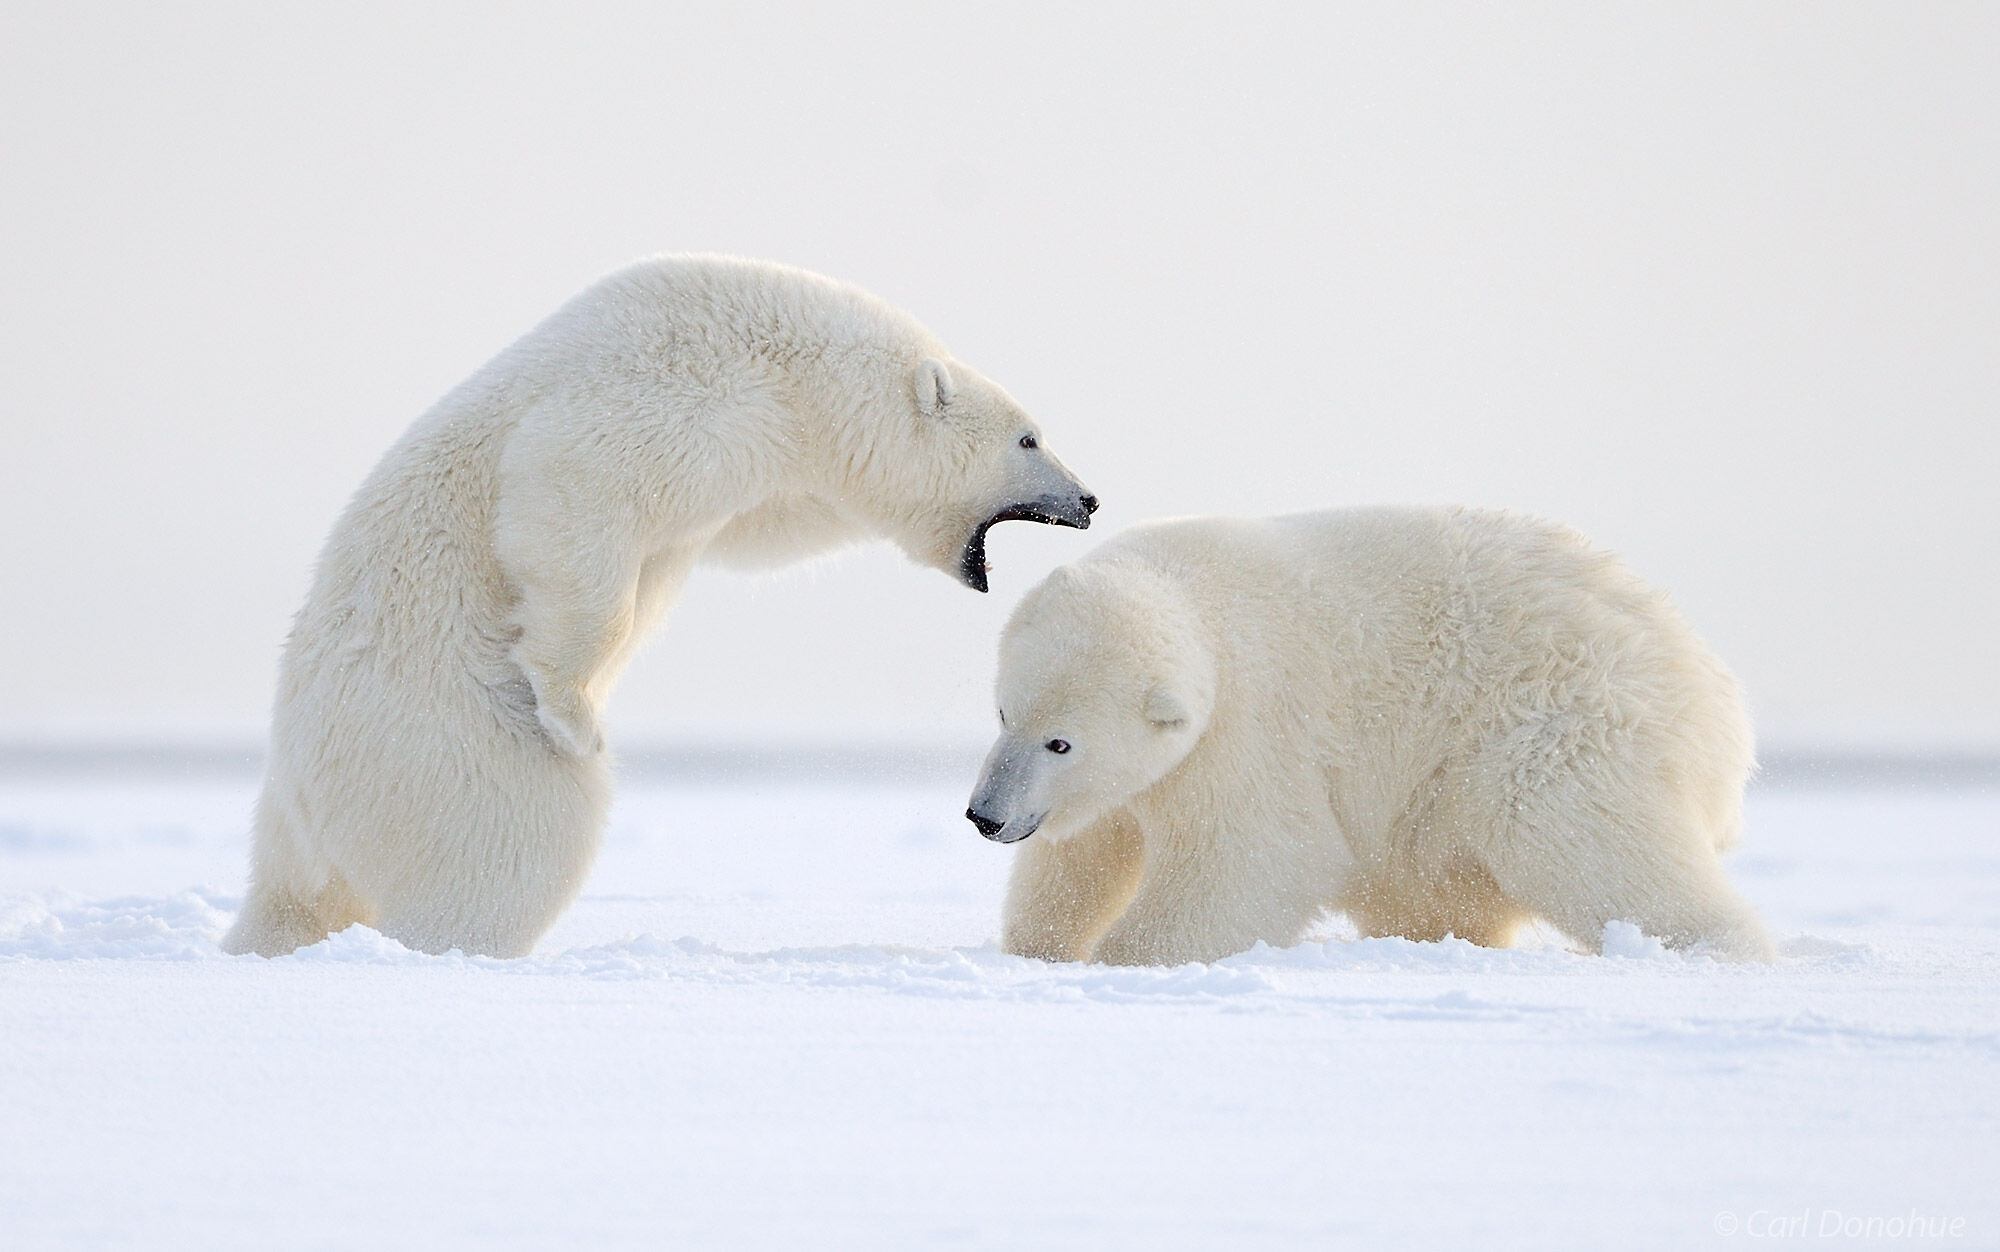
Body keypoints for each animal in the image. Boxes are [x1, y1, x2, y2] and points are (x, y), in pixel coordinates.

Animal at [229, 254, 1104, 956]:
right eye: (1029, 438)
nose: (1090, 499)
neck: (795, 368)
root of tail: (302, 787)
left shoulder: (762, 470)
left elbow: (763, 528)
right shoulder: (670, 389)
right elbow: (572, 492)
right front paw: (574, 715)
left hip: (299, 819)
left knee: (293, 898)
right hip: (441, 749)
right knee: (508, 857)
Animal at [976, 502, 1776, 960]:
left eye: (1061, 742)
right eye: (1006, 712)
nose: (985, 816)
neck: (1195, 598)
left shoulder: (1249, 726)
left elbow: (1257, 854)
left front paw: (1125, 955)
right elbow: (1085, 851)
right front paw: (1040, 946)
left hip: (1555, 719)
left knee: (1580, 834)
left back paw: (1705, 945)